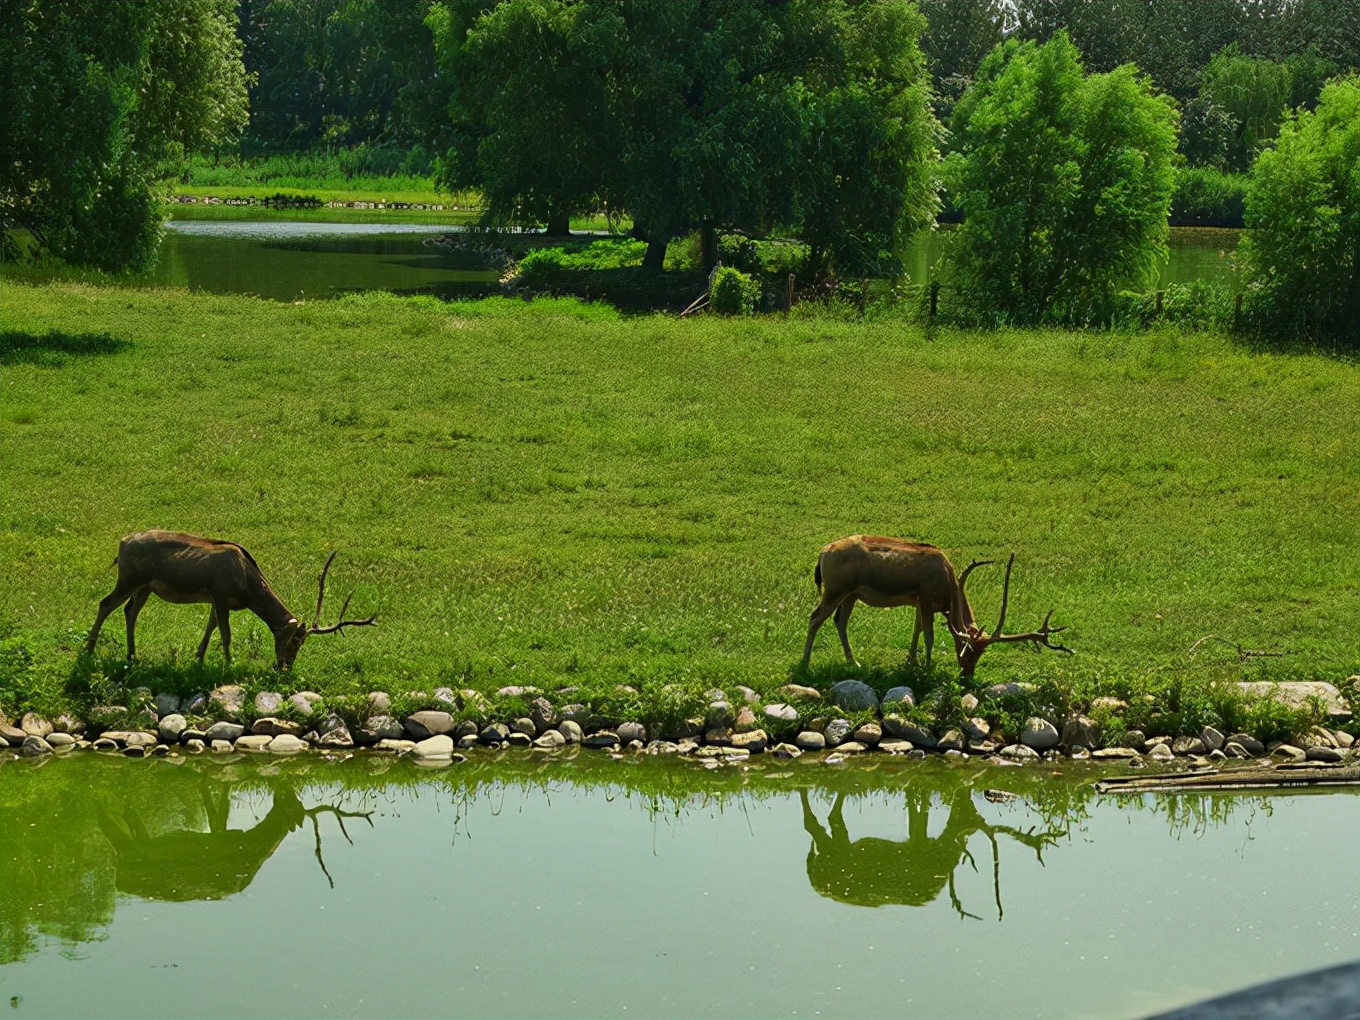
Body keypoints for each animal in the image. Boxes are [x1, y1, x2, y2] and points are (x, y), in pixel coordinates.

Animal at [85, 530, 375, 674]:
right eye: (293, 641)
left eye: (301, 643)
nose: (286, 667)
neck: (248, 587)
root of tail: (122, 543)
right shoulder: (222, 594)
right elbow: (225, 633)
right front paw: (229, 663)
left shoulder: (216, 598)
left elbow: (211, 626)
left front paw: (198, 658)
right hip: (131, 578)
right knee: (106, 603)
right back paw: (88, 650)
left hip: (146, 586)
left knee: (130, 610)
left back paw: (132, 654)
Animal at [794, 535, 1071, 680]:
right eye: (969, 650)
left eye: (981, 653)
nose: (967, 674)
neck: (948, 584)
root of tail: (823, 553)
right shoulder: (926, 597)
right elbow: (929, 635)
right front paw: (927, 666)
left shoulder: (918, 599)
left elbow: (916, 630)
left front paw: (911, 661)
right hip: (835, 589)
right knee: (815, 618)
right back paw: (805, 663)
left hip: (852, 594)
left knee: (840, 622)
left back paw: (854, 663)